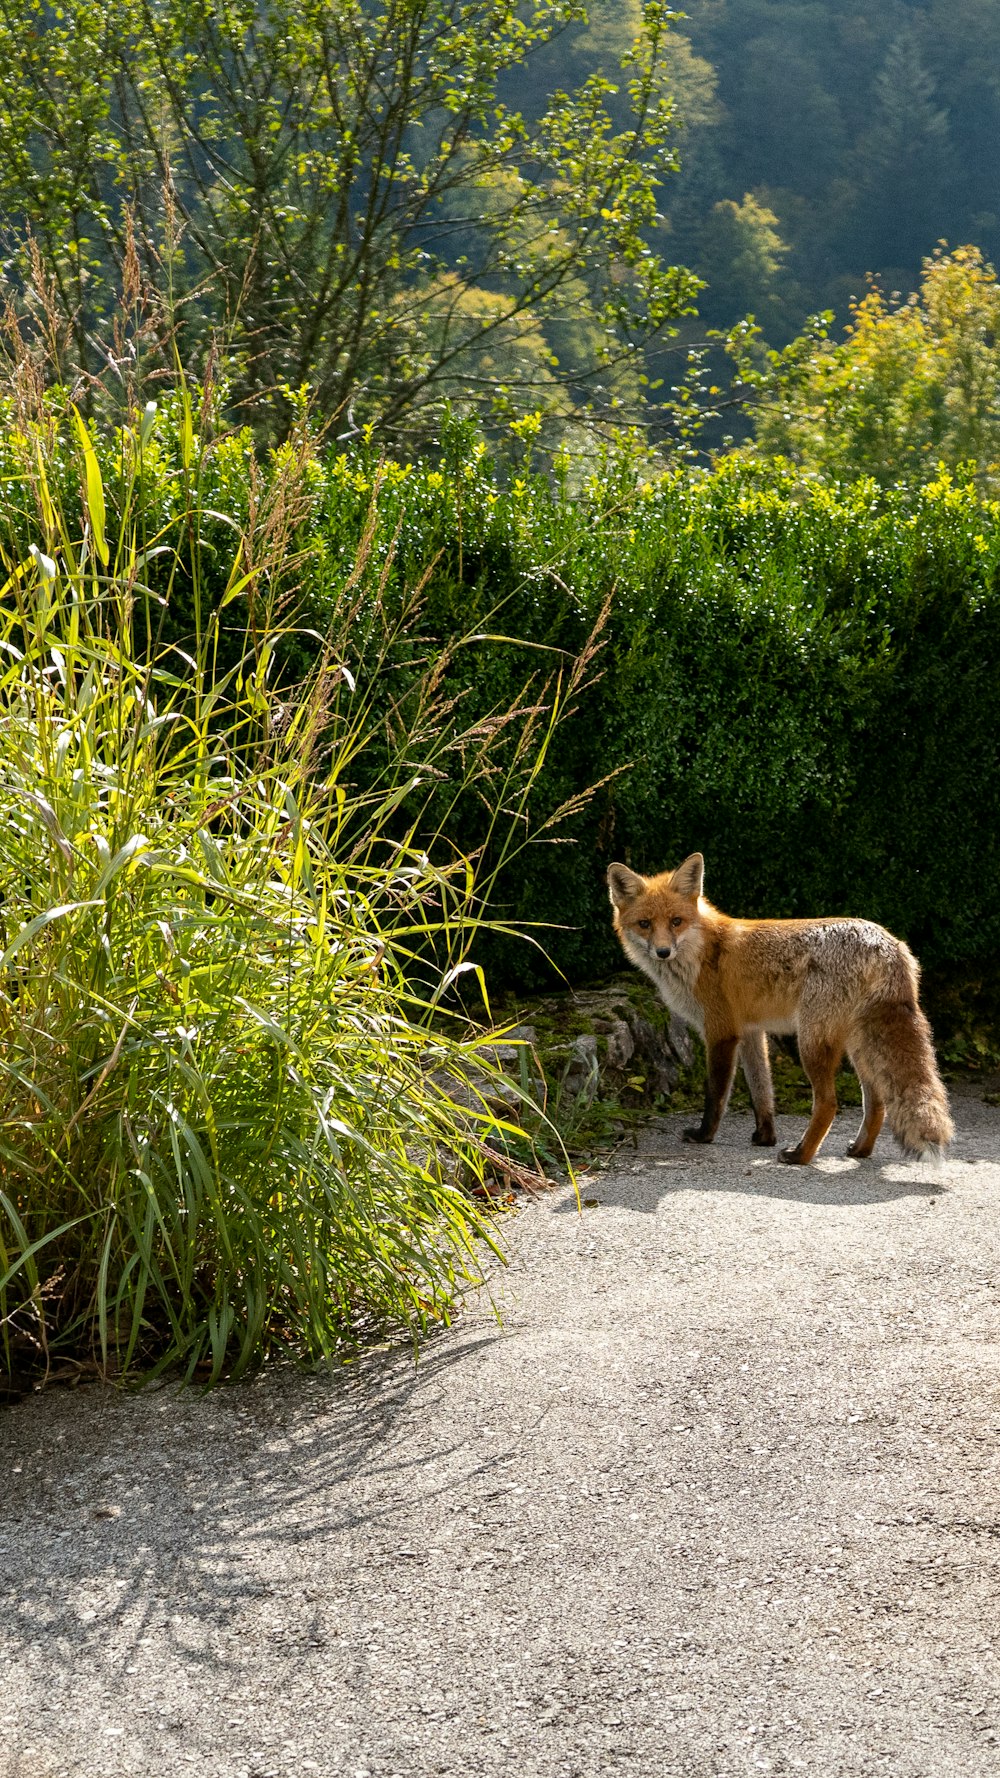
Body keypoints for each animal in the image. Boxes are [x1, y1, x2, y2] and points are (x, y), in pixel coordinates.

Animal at [608, 849, 946, 1166]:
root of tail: (887, 942)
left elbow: (716, 1095)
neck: (701, 952)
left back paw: (801, 1155)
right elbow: (762, 1091)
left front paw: (705, 1135)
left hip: (812, 1041)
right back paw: (859, 1150)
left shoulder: (721, 1032)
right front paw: (765, 1136)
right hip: (857, 1044)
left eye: (676, 922)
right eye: (645, 924)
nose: (663, 952)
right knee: (877, 1102)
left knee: (829, 1103)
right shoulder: (750, 1031)